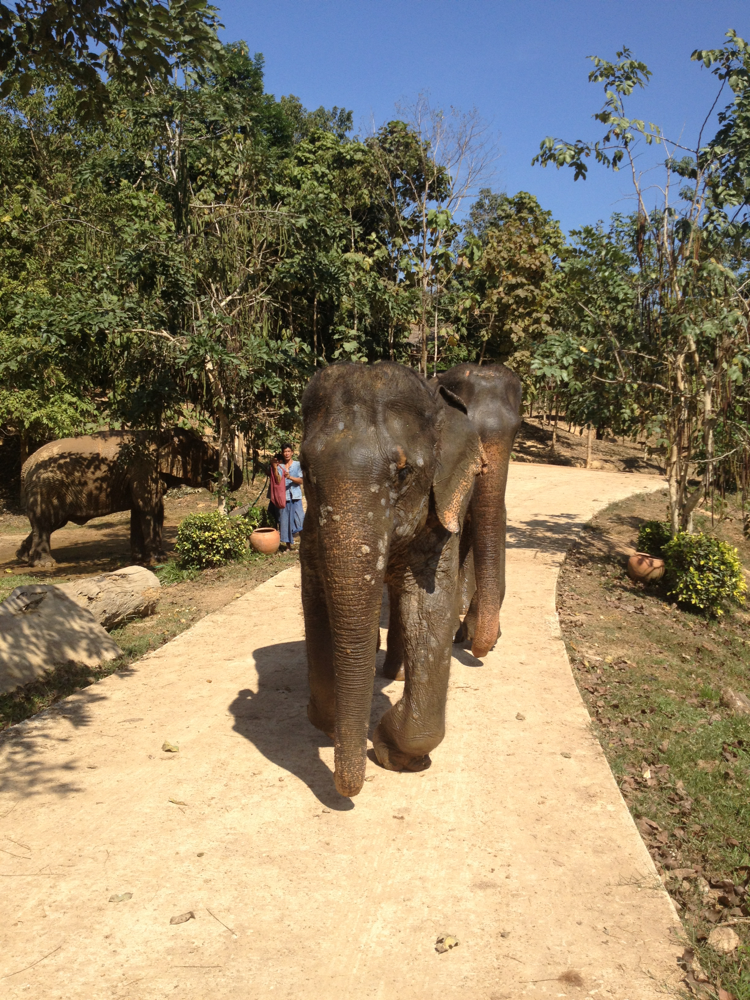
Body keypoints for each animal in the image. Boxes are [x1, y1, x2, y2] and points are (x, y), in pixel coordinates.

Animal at [16, 428, 241, 572]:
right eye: (208, 460)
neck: (161, 434)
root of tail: (25, 467)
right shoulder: (143, 469)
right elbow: (151, 508)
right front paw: (159, 559)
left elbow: (140, 510)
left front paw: (139, 559)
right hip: (46, 488)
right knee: (46, 523)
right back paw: (45, 564)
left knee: (48, 524)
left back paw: (25, 558)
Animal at [296, 360, 484, 796]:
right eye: (306, 472)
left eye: (403, 473)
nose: (346, 791)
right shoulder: (312, 525)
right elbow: (316, 594)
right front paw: (327, 719)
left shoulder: (439, 508)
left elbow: (428, 606)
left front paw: (392, 751)